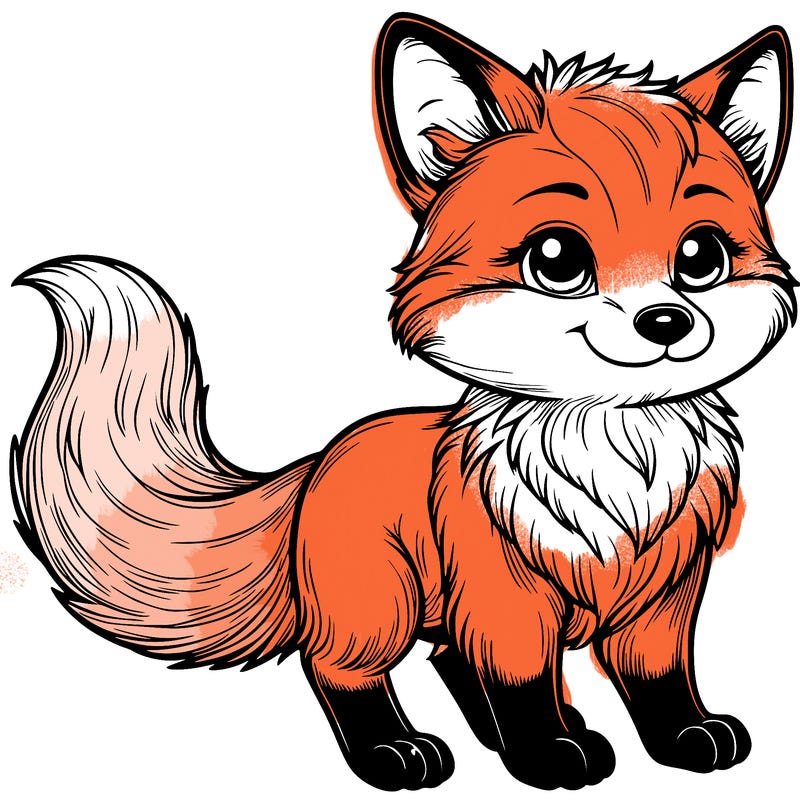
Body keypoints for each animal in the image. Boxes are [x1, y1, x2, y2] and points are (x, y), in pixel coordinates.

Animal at [10, 12, 795, 792]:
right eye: (557, 260)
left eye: (700, 258)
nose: (667, 322)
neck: (613, 455)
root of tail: (317, 464)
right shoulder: (507, 595)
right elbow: (522, 682)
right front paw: (547, 752)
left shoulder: (666, 596)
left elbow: (660, 680)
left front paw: (685, 736)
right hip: (378, 608)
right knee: (339, 669)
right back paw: (396, 752)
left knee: (447, 656)